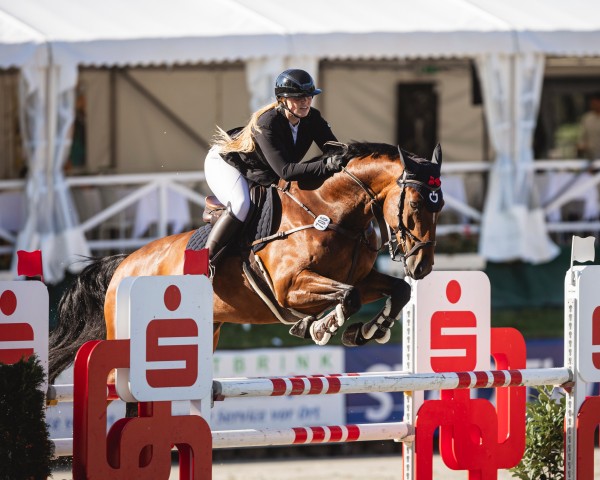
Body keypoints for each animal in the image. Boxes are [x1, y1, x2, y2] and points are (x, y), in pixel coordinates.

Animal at [48, 142, 446, 386]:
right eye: (415, 204)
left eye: (439, 206)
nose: (422, 266)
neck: (331, 212)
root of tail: (123, 266)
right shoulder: (290, 286)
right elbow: (348, 298)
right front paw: (319, 327)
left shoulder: (358, 277)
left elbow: (397, 290)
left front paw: (367, 331)